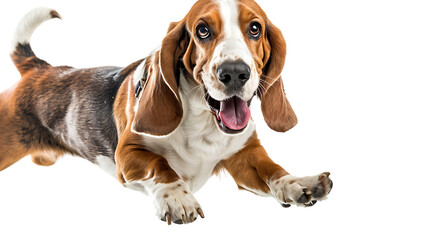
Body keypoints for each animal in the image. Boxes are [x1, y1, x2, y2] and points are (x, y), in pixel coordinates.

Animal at [0, 0, 332, 225]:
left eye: (255, 28)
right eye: (202, 30)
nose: (234, 73)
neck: (204, 124)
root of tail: (39, 67)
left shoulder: (245, 157)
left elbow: (272, 169)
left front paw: (298, 183)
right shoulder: (127, 154)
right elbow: (159, 164)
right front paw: (176, 197)